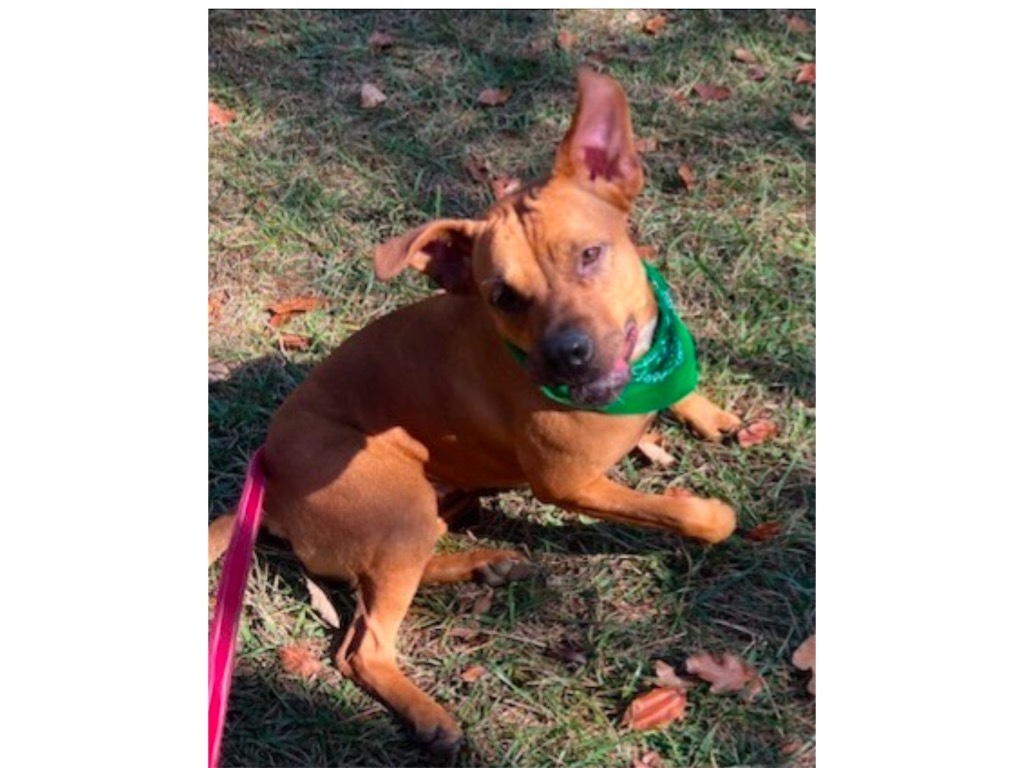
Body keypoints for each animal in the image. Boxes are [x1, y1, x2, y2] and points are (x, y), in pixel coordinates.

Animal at [209, 67, 745, 757]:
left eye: (590, 254)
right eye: (502, 297)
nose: (568, 354)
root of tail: (268, 481)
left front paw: (706, 412)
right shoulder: (569, 484)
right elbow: (691, 515)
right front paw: (713, 514)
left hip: (420, 515)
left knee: (383, 583)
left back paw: (482, 563)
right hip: (399, 503)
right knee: (362, 647)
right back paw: (430, 716)